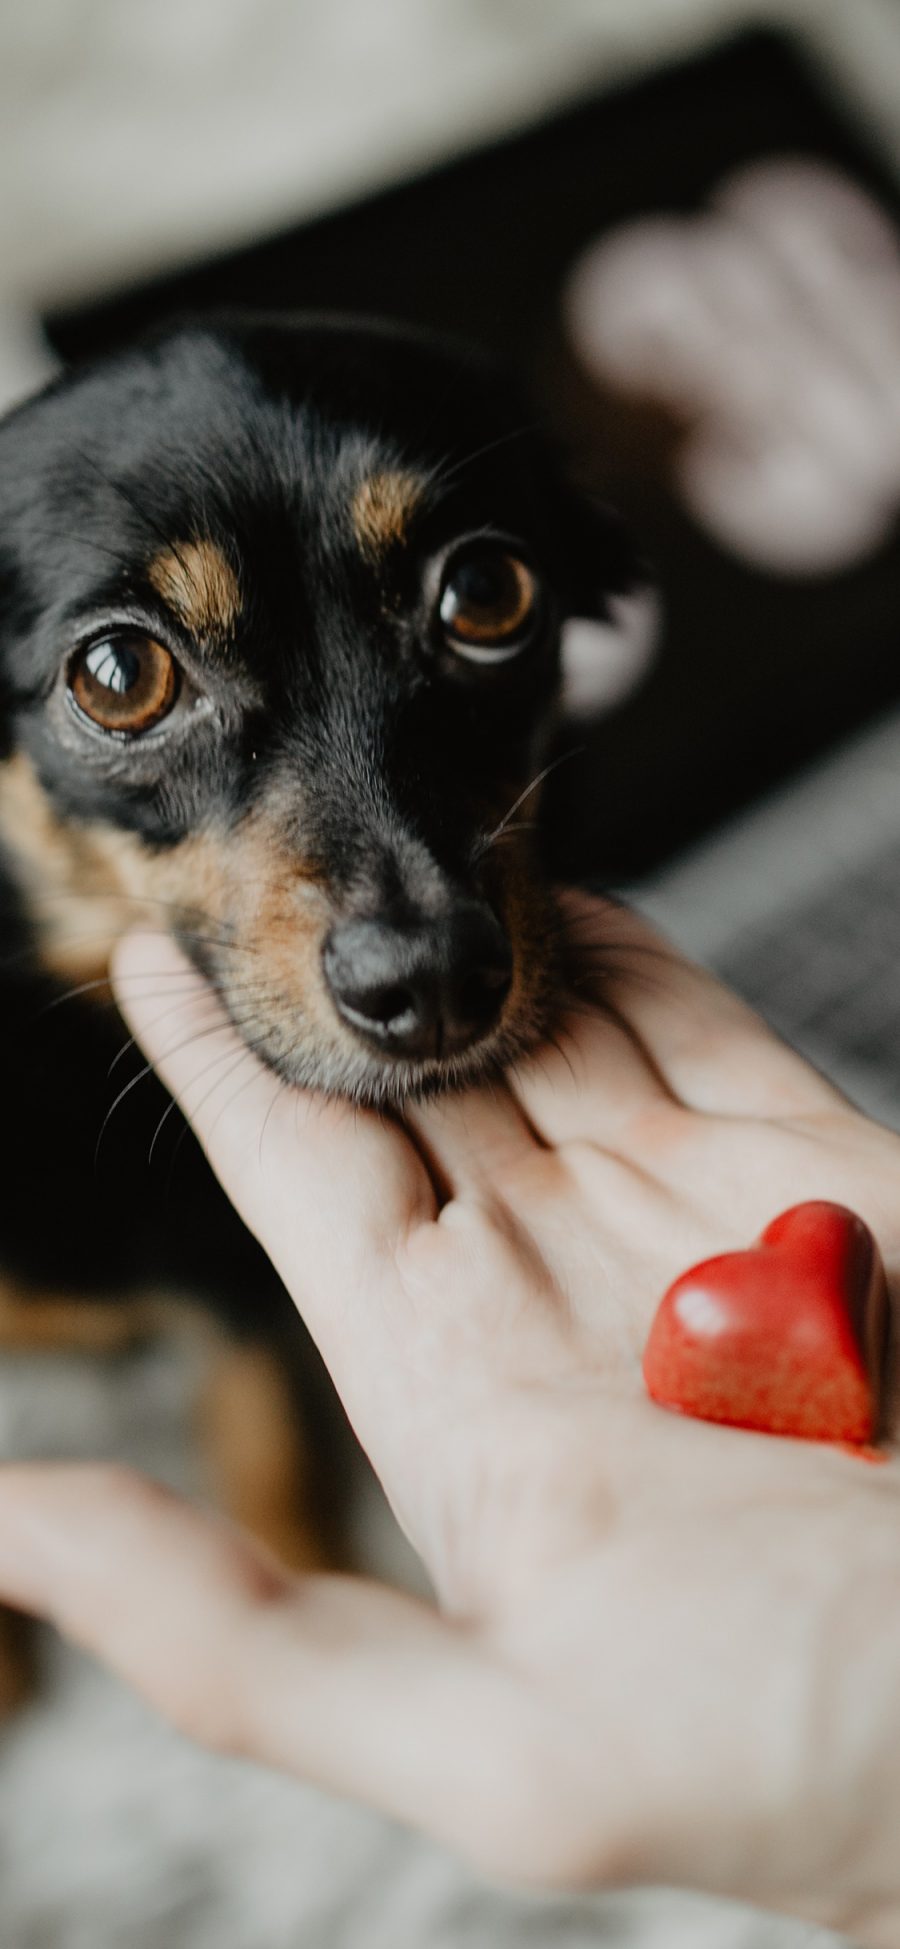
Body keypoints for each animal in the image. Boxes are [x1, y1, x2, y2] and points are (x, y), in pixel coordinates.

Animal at [0, 307, 635, 1691]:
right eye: (118, 672)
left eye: (487, 593)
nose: (435, 981)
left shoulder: (221, 1261)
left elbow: (262, 1427)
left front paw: (308, 1574)